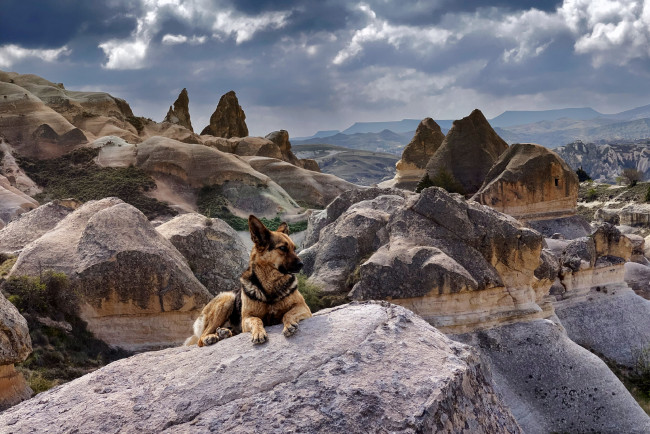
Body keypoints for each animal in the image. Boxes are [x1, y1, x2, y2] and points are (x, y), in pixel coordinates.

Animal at [185, 214, 312, 346]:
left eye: (294, 248)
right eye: (282, 248)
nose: (302, 264)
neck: (270, 285)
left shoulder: (304, 308)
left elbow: (288, 313)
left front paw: (289, 324)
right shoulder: (246, 318)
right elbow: (256, 319)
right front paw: (258, 333)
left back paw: (224, 332)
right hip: (227, 298)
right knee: (200, 339)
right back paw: (210, 337)